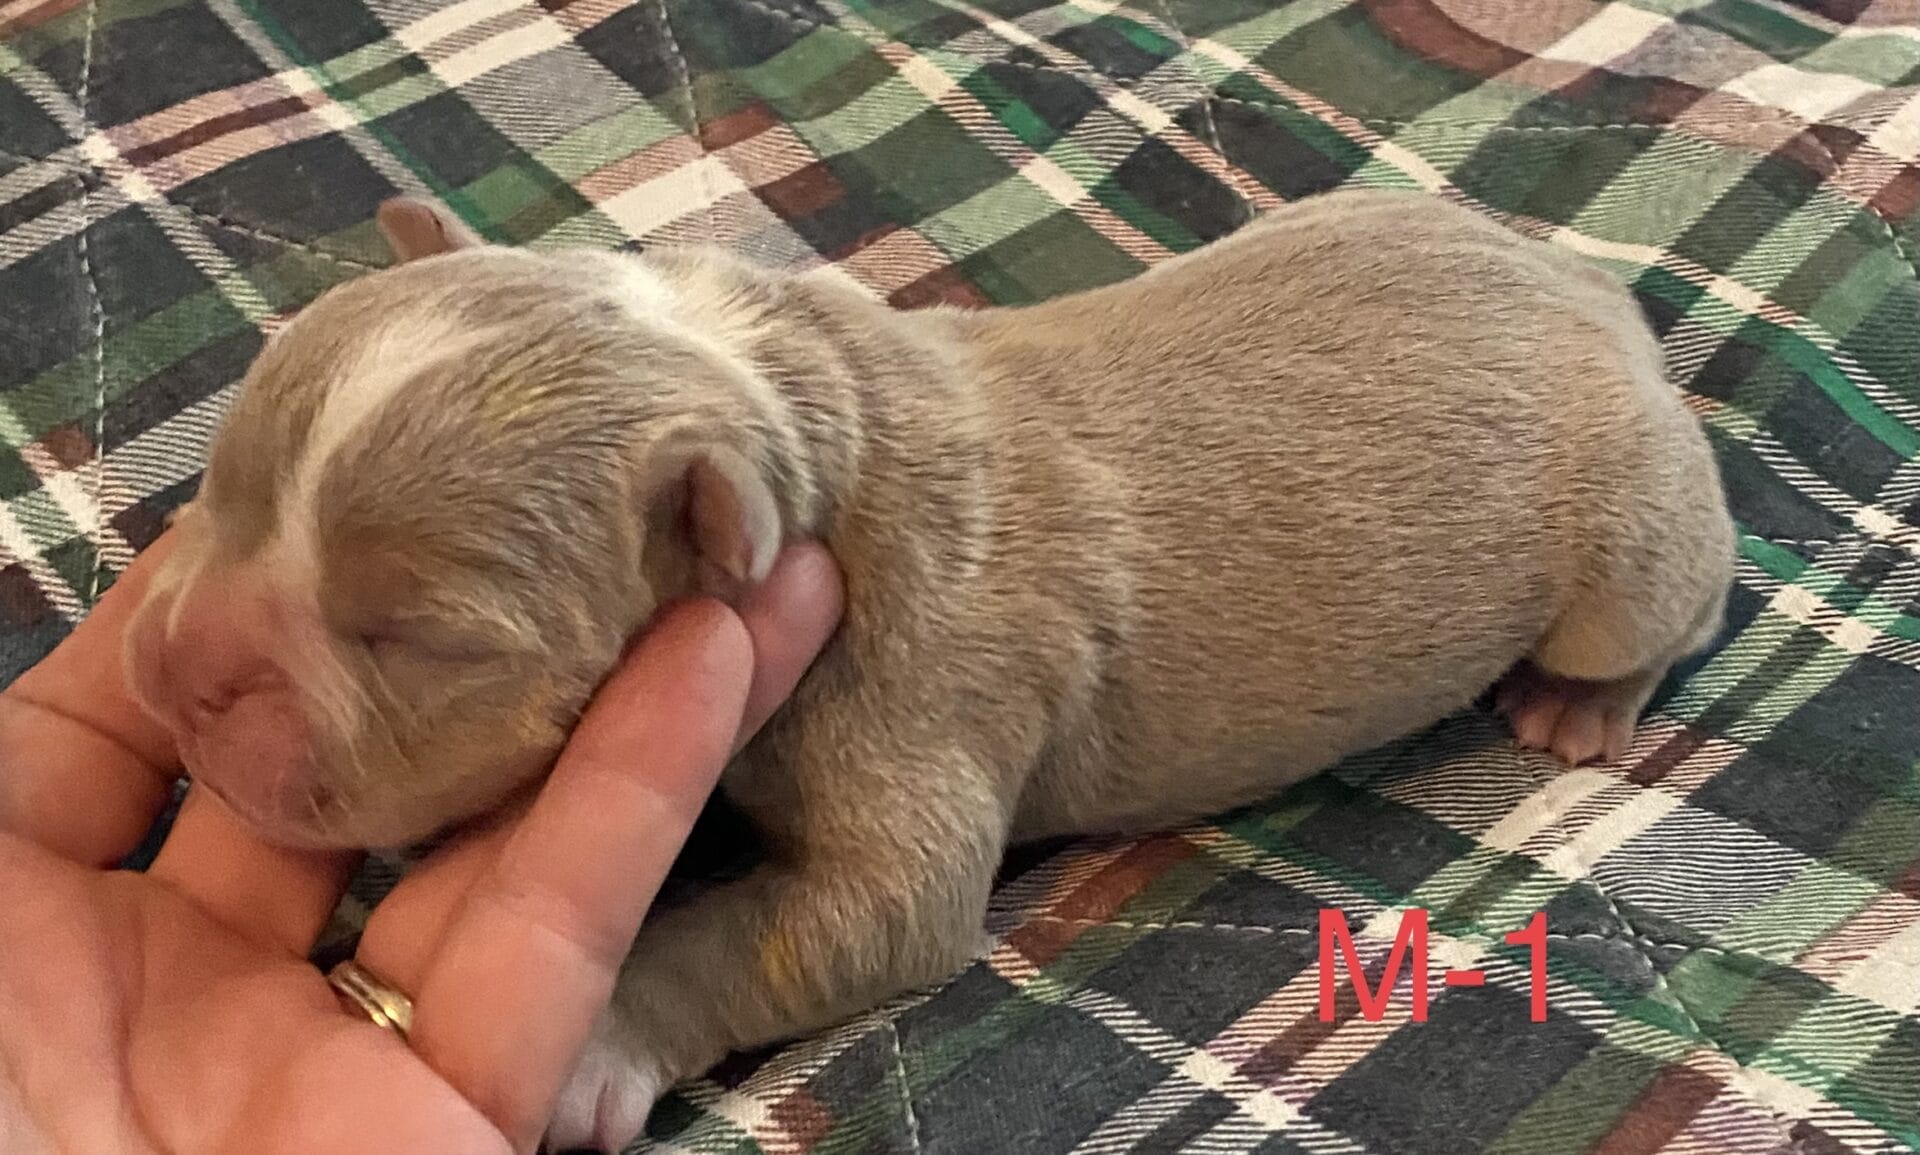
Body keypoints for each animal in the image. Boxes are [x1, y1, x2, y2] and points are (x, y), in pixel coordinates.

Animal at [123, 189, 1734, 1150]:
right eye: (223, 487)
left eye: (420, 637)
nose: (186, 673)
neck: (776, 403)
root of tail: (1593, 293)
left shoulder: (911, 715)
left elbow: (810, 919)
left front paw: (594, 1043)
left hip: (1632, 521)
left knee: (1662, 606)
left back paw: (1578, 703)